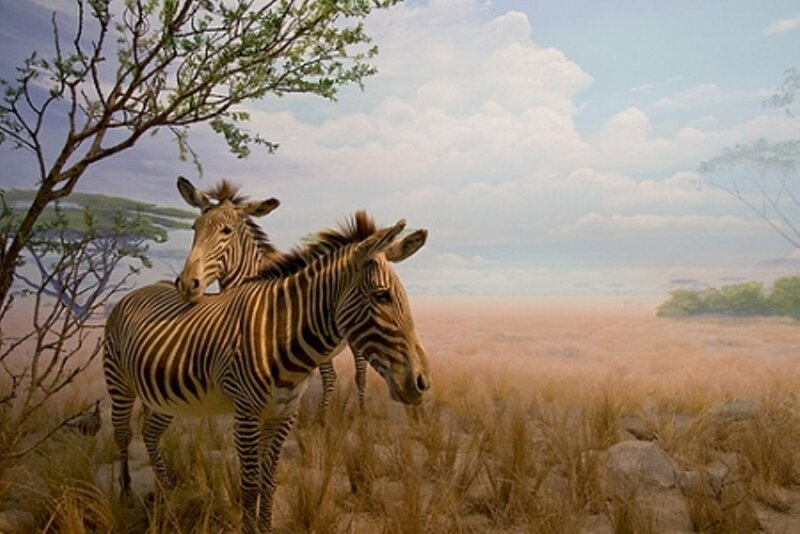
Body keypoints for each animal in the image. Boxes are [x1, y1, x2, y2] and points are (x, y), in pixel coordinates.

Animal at [103, 212, 430, 532]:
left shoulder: (283, 414)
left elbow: (268, 481)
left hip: (164, 395)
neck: (277, 336)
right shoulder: (246, 412)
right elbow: (249, 486)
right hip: (118, 381)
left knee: (149, 432)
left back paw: (167, 493)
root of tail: (138, 290)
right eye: (382, 296)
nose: (422, 381)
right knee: (122, 433)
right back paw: (126, 495)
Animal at [175, 176, 369, 417]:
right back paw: (322, 419)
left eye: (227, 231)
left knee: (360, 372)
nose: (187, 283)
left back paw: (360, 415)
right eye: (195, 227)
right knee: (330, 376)